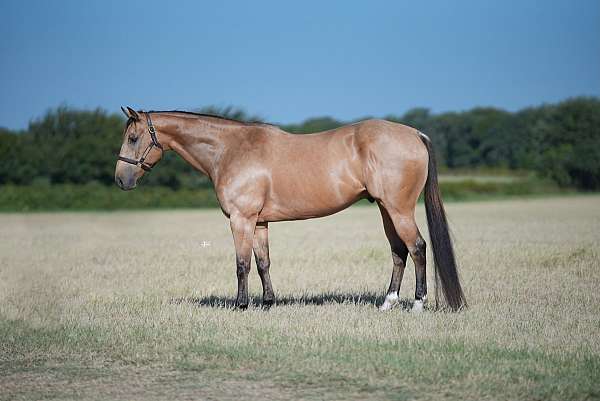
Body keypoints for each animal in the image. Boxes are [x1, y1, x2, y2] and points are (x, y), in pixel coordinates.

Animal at [115, 105, 466, 310]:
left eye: (132, 138)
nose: (121, 180)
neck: (230, 149)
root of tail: (415, 134)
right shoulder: (258, 222)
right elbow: (263, 263)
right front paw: (268, 303)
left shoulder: (241, 220)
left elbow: (242, 264)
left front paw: (240, 305)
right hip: (385, 209)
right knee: (399, 251)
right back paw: (387, 303)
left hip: (398, 208)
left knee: (417, 247)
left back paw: (418, 303)